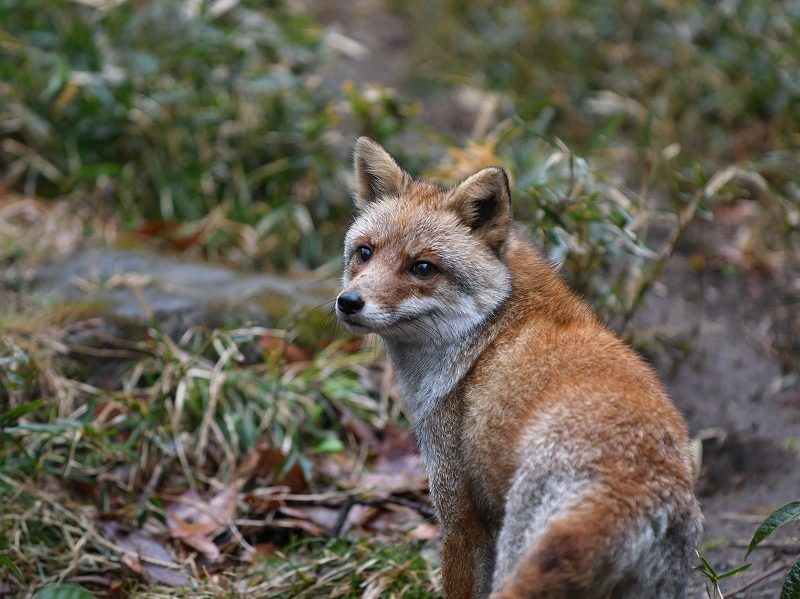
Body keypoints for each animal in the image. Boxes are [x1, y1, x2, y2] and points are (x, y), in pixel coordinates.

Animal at [336, 138, 700, 596]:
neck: (489, 329)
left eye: (422, 267)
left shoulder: (460, 519)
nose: (348, 302)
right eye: (364, 253)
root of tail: (627, 489)